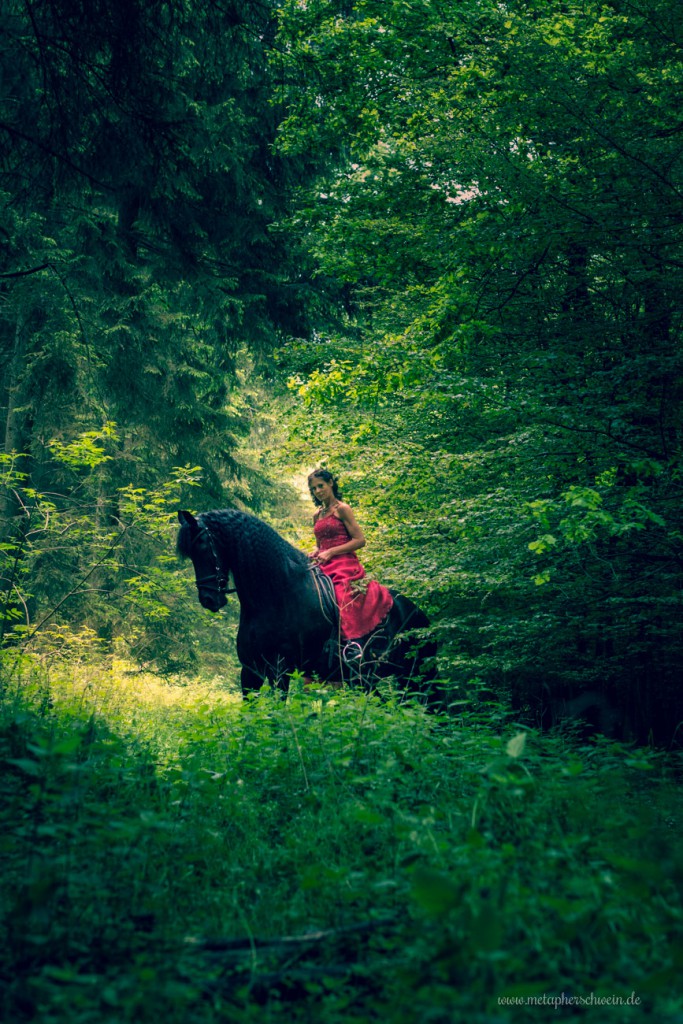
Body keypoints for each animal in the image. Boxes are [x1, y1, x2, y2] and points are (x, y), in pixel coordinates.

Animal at [178, 509, 438, 704]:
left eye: (203, 547)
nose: (209, 599)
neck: (275, 595)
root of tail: (420, 615)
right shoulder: (250, 672)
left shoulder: (280, 671)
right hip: (370, 680)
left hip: (415, 675)